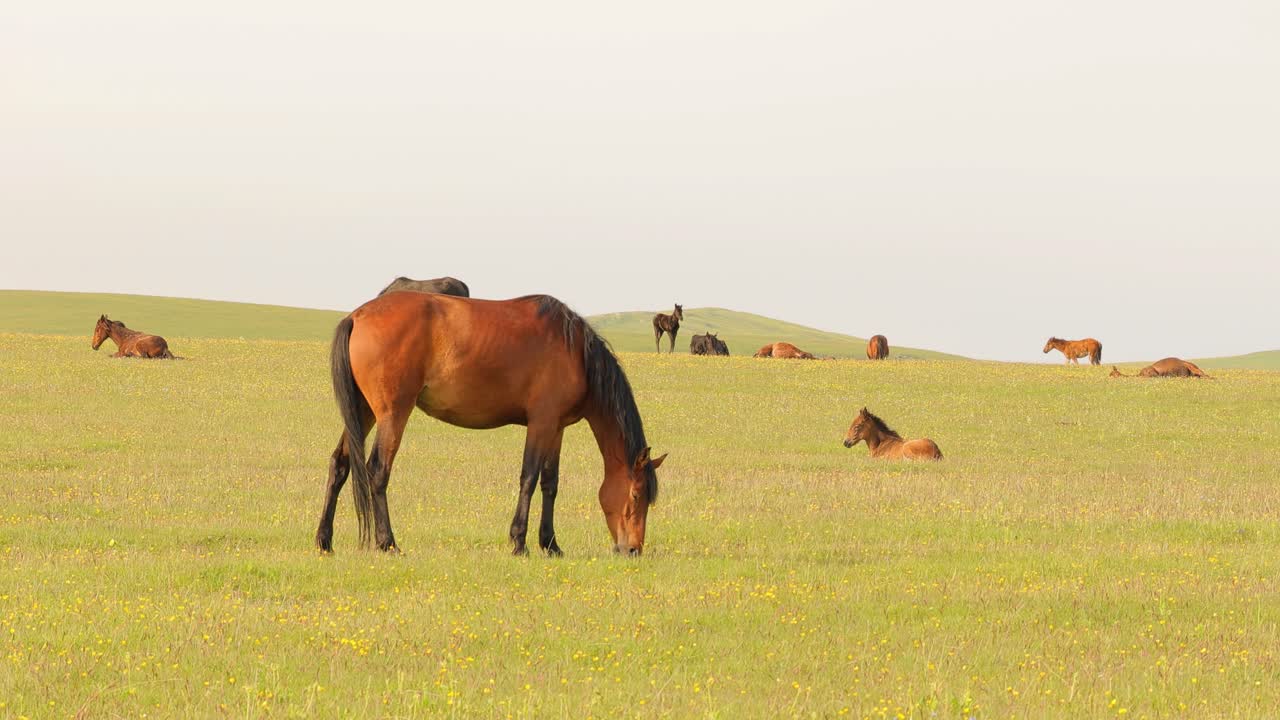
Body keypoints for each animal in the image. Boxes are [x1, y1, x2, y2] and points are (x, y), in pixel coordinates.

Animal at [316, 292, 667, 557]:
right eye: (636, 495)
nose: (633, 549)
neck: (576, 352)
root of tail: (357, 316)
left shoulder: (556, 428)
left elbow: (550, 484)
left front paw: (551, 544)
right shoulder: (541, 423)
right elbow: (529, 478)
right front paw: (519, 543)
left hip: (363, 412)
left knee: (340, 464)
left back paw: (324, 540)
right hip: (392, 414)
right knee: (377, 471)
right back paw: (387, 542)